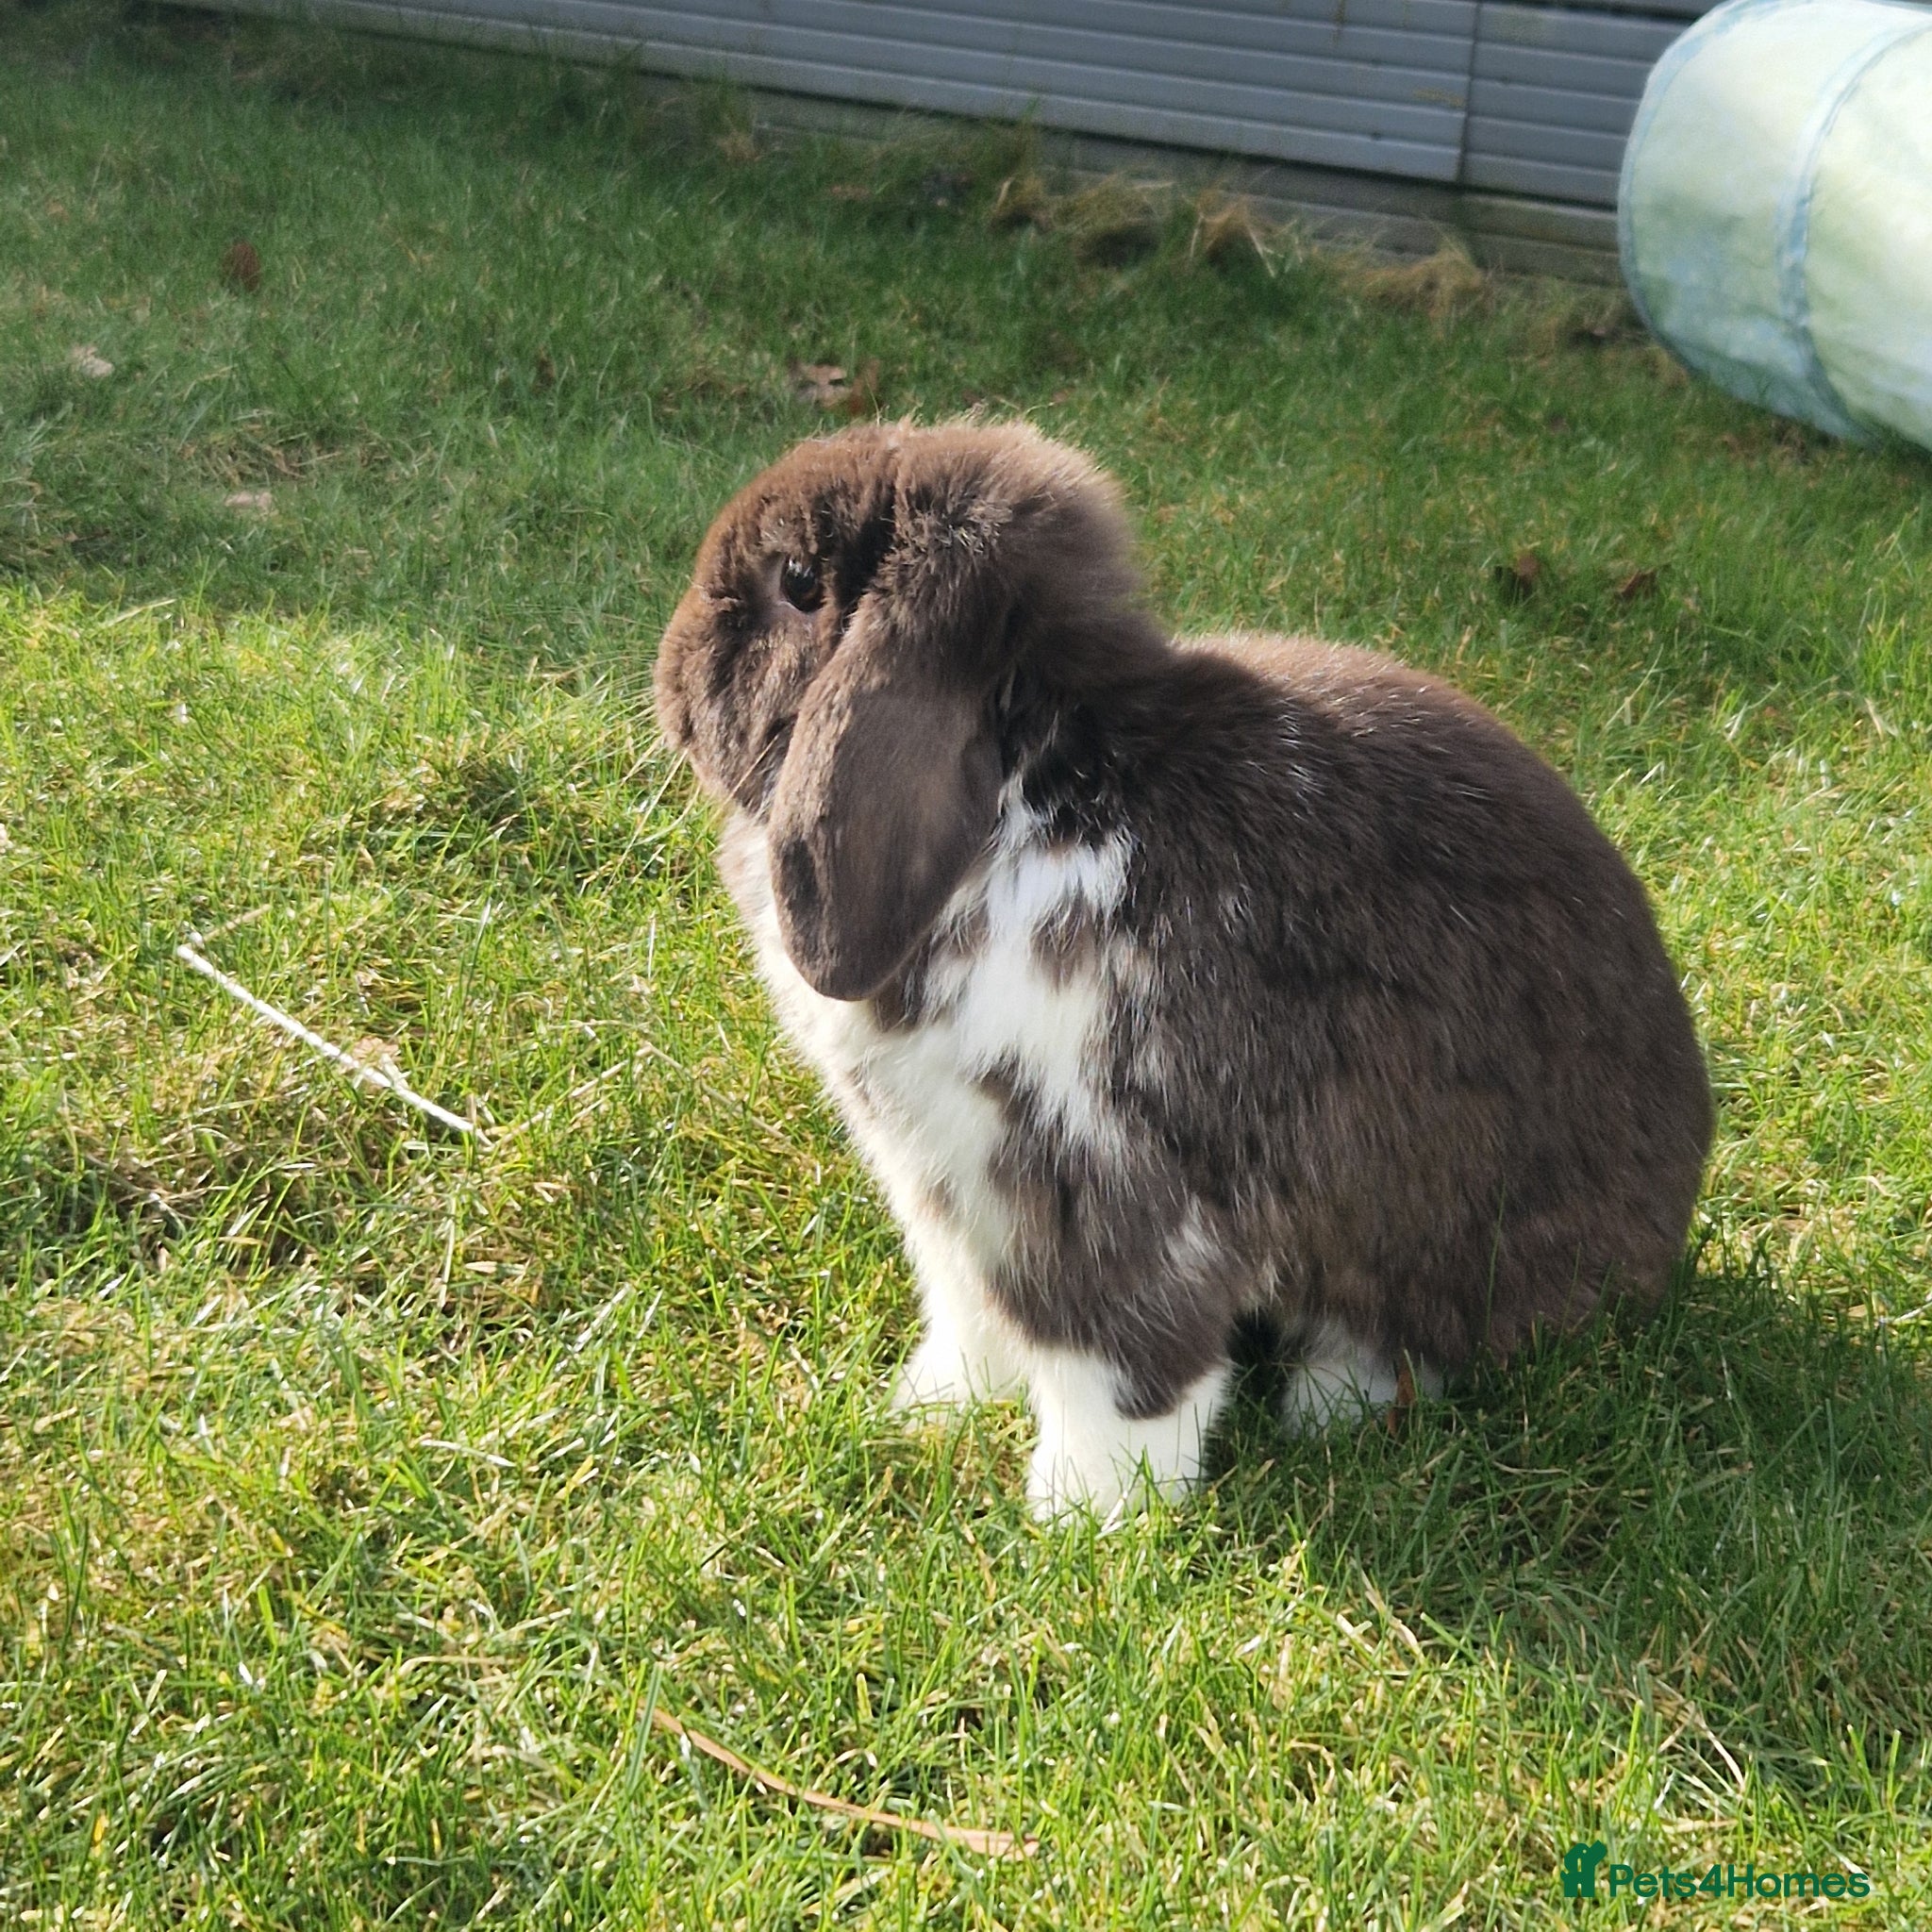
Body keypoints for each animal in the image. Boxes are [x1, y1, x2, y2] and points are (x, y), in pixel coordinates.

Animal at [654, 420, 1713, 1518]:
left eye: (797, 582)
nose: (670, 671)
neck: (1028, 800)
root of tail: (1668, 1221)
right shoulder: (949, 1195)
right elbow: (970, 1321)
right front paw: (927, 1413)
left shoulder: (1098, 1187)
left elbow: (1118, 1369)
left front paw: (1079, 1518)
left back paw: (1324, 1404)